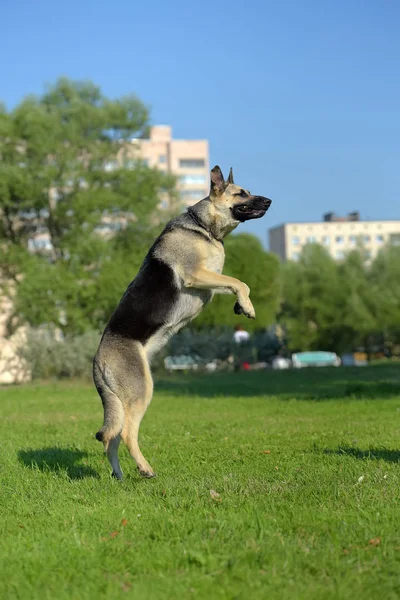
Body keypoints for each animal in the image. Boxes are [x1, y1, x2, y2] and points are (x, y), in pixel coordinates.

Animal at [93, 166, 272, 480]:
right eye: (241, 194)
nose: (270, 201)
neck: (203, 227)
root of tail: (99, 361)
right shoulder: (197, 275)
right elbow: (240, 282)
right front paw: (247, 306)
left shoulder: (209, 282)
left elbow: (234, 284)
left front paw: (240, 305)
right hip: (142, 392)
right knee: (126, 434)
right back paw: (145, 468)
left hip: (120, 403)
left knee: (111, 441)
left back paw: (121, 476)